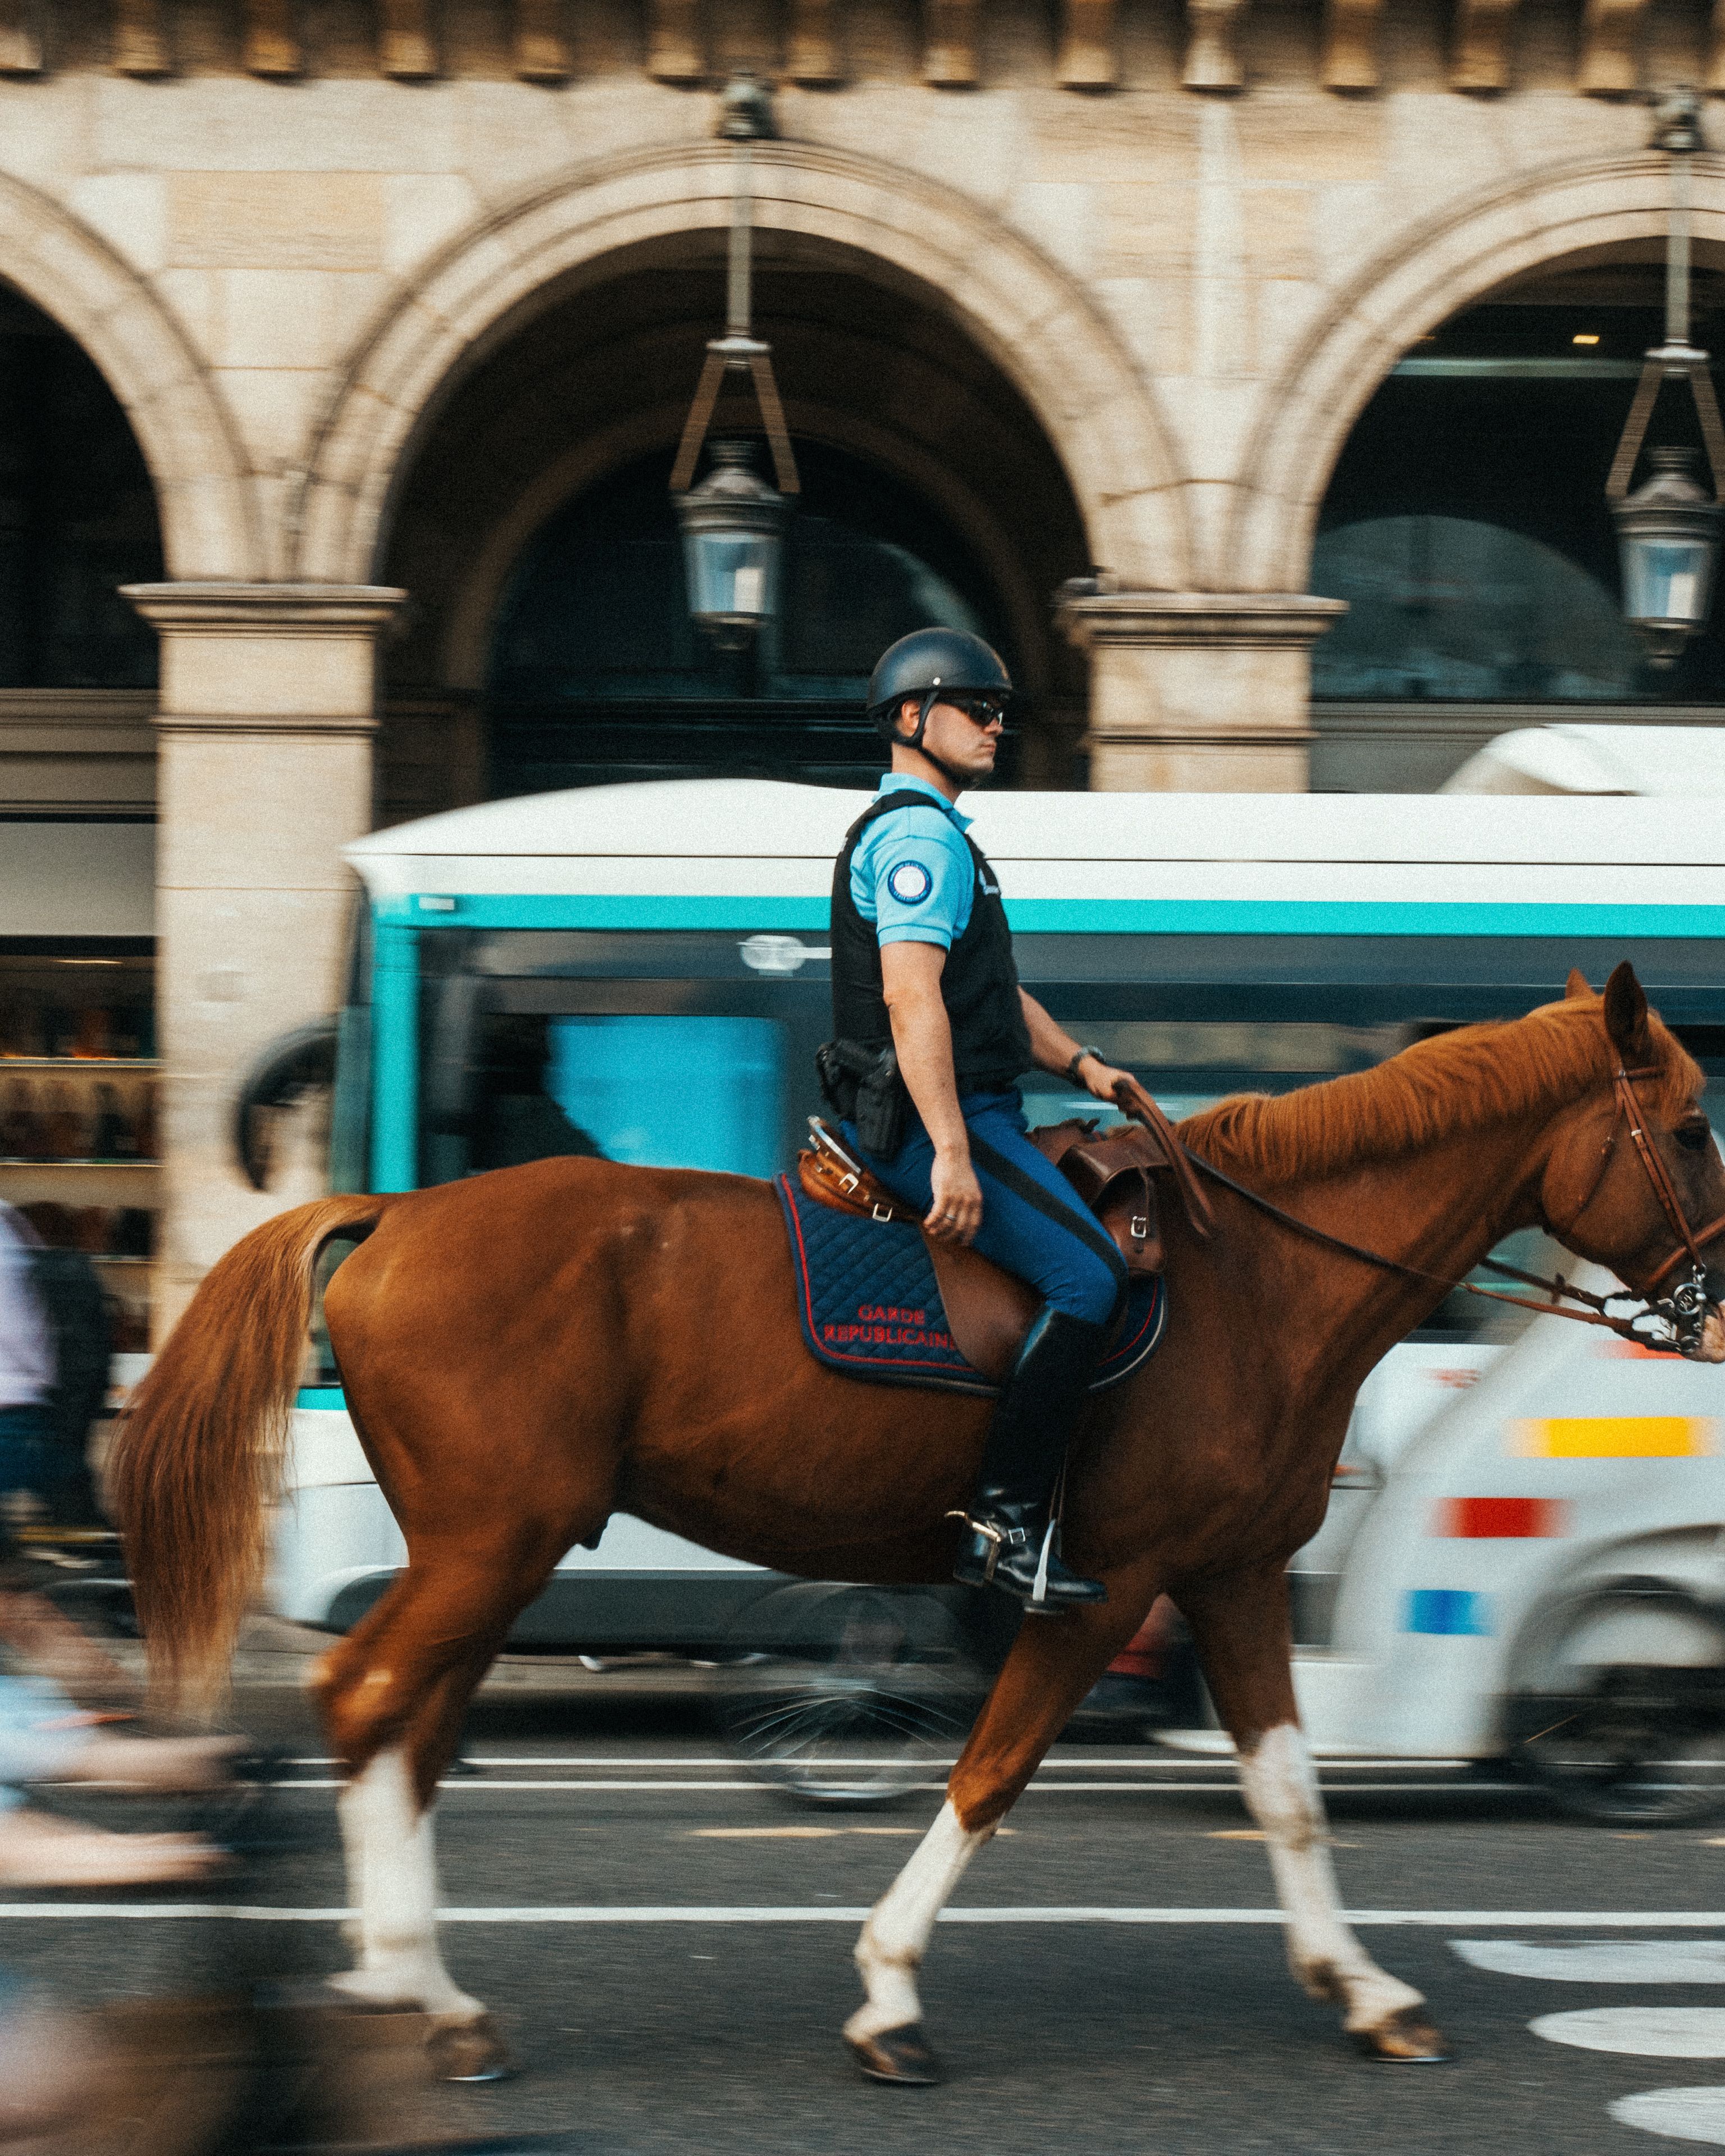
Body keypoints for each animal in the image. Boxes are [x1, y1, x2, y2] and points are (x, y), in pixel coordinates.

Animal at [112, 962, 1725, 2086]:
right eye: (1699, 1127)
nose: (1714, 1311)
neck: (1257, 1281)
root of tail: (394, 1209)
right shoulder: (1104, 1585)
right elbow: (990, 1775)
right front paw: (888, 1993)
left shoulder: (1231, 1578)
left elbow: (1287, 1793)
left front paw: (1369, 1993)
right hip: (490, 1543)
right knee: (367, 1697)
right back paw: (423, 1994)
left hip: (487, 1550)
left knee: (408, 1726)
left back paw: (405, 1979)